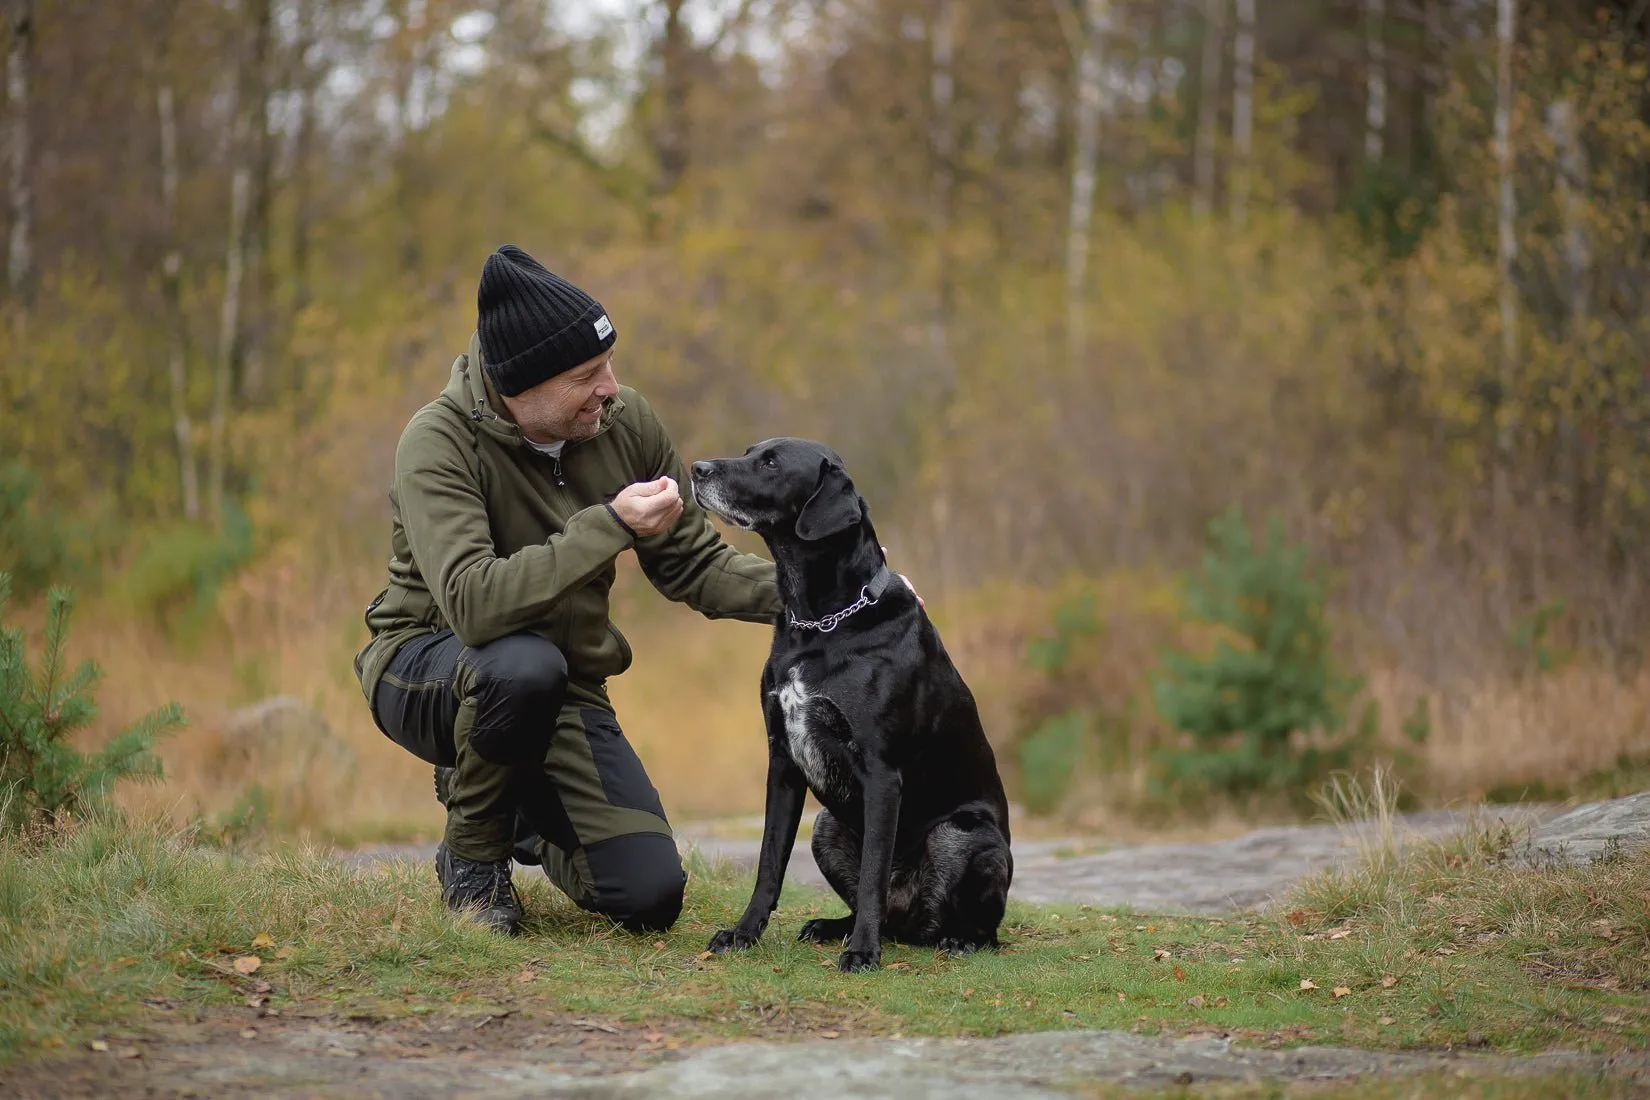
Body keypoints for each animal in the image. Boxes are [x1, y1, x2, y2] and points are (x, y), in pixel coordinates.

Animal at [689, 438, 1009, 969]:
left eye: (770, 462)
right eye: (750, 450)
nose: (696, 468)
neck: (820, 623)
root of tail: (912, 921)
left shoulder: (881, 771)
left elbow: (874, 872)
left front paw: (862, 953)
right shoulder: (783, 761)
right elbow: (769, 862)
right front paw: (744, 933)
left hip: (963, 834)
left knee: (976, 927)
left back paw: (956, 939)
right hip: (825, 826)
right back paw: (834, 927)